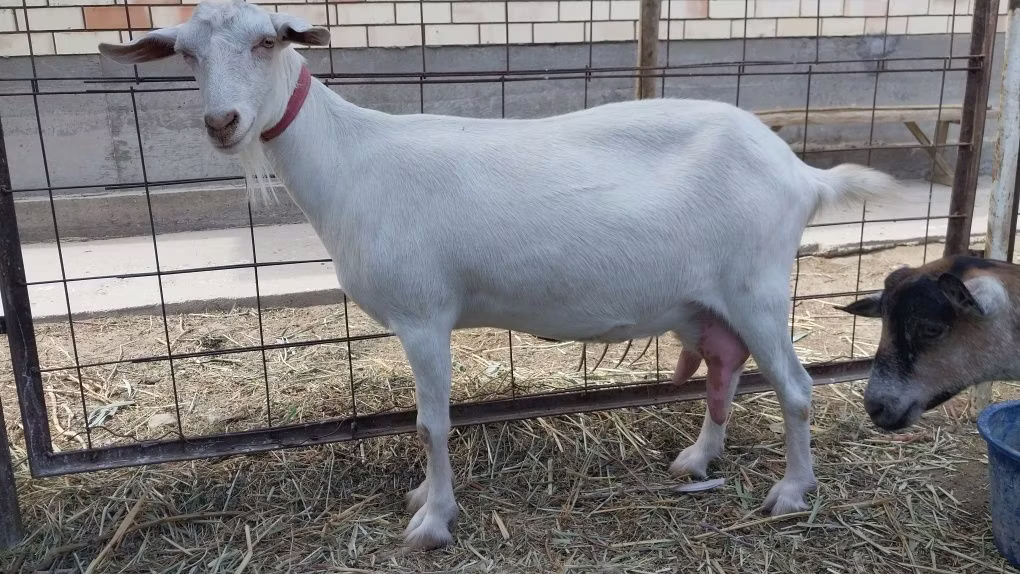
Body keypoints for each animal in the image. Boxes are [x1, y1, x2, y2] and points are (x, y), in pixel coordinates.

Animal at [98, 0, 903, 549]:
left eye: (267, 41)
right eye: (186, 55)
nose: (222, 123)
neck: (351, 159)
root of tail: (801, 173)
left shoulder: (424, 315)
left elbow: (431, 422)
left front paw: (432, 520)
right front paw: (423, 498)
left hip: (757, 285)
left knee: (795, 387)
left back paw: (791, 492)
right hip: (708, 300)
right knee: (724, 367)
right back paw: (698, 458)